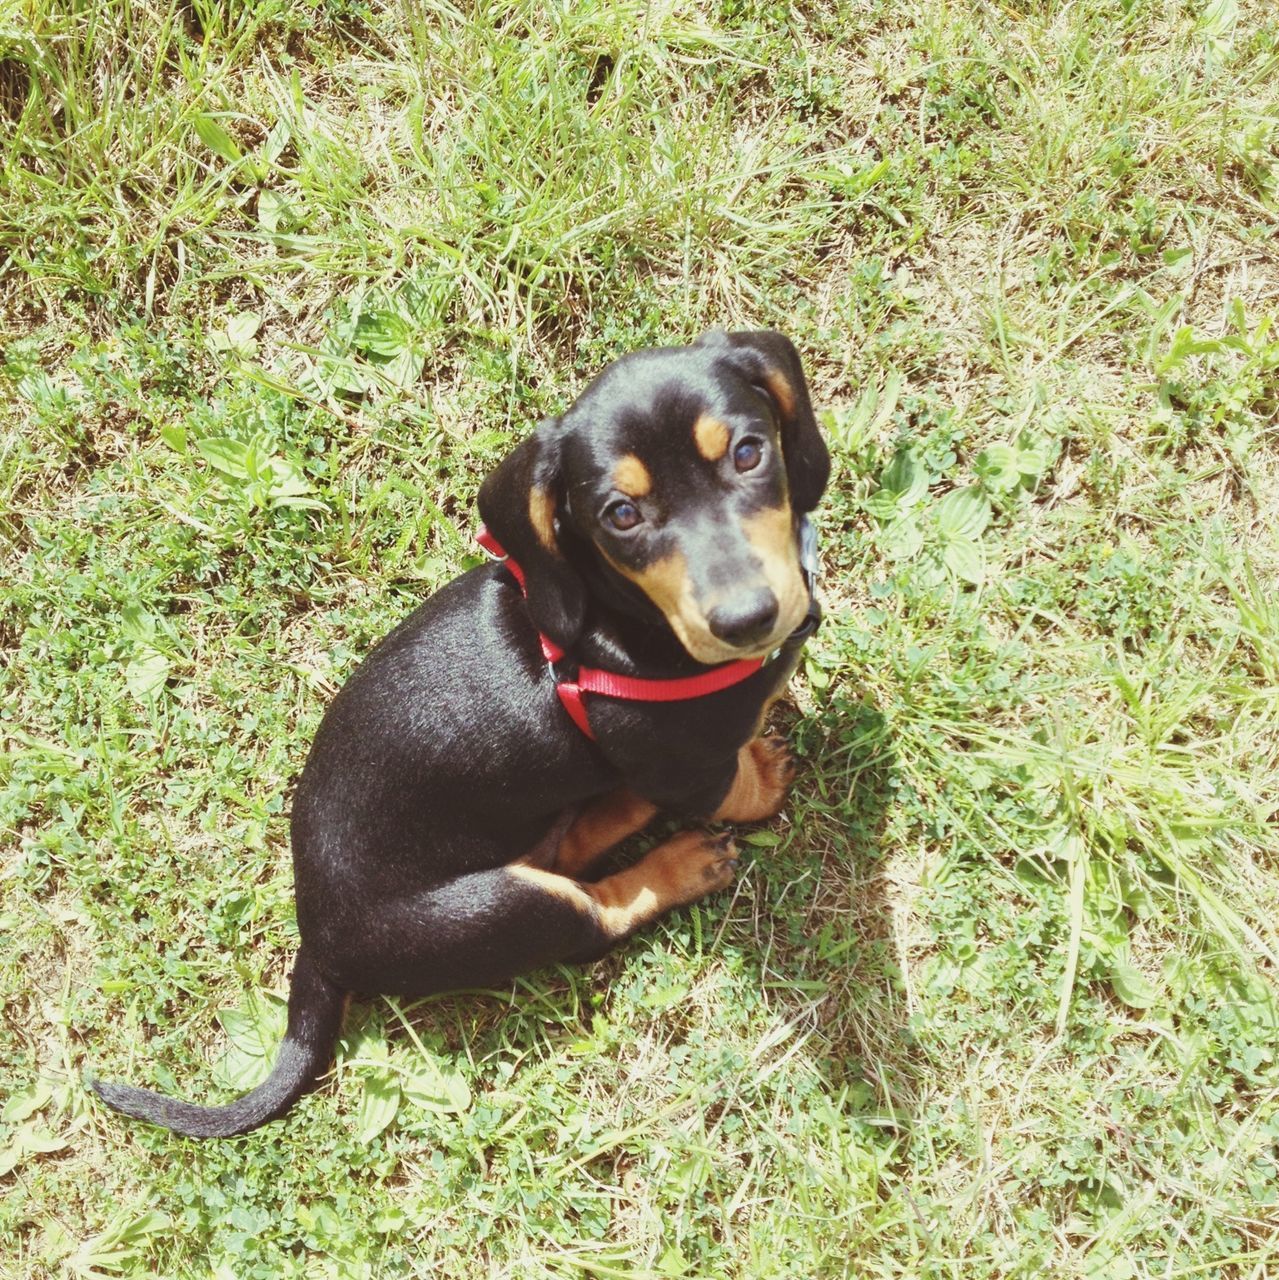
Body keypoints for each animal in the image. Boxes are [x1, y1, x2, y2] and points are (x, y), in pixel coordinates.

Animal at [87, 330, 829, 1141]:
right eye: (620, 515)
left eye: (750, 452)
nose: (747, 620)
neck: (611, 626)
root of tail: (317, 943)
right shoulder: (684, 766)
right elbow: (728, 787)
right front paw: (762, 777)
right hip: (499, 911)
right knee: (594, 911)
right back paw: (681, 864)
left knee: (570, 844)